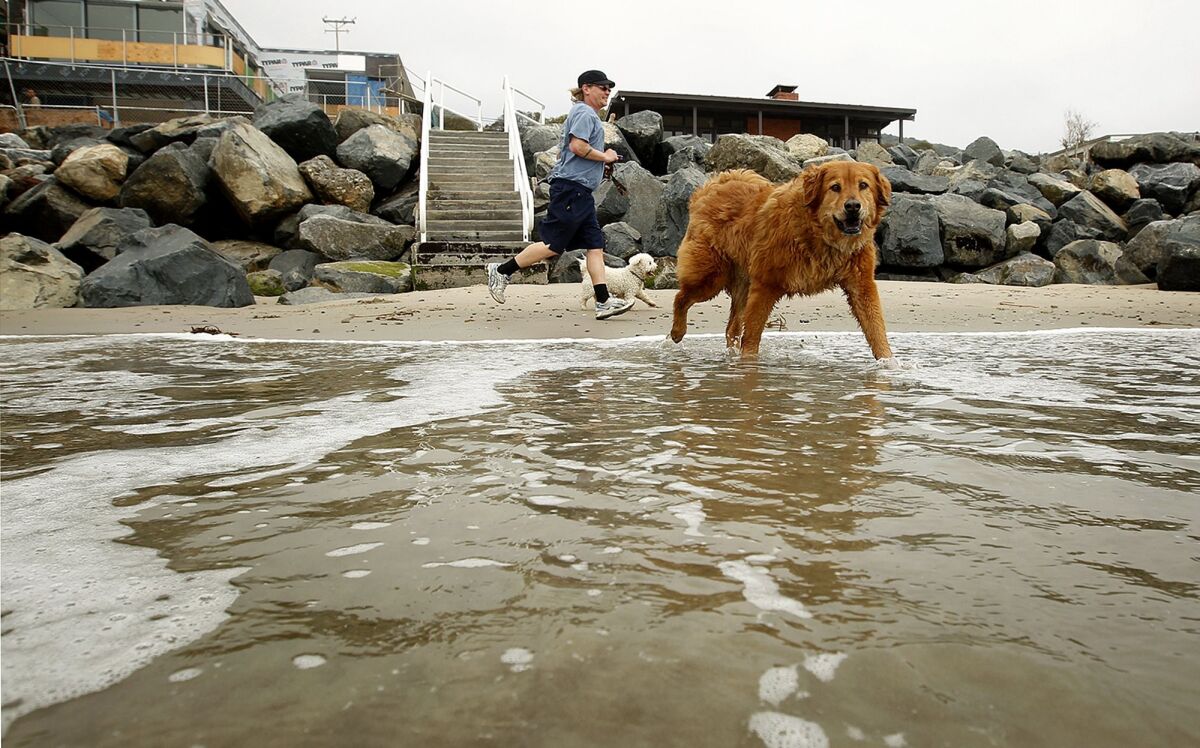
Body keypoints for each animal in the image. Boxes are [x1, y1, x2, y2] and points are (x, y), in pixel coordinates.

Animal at [672, 162, 897, 360]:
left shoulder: (861, 286)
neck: (819, 236)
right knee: (681, 298)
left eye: (863, 185)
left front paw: (889, 365)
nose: (853, 206)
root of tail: (716, 184)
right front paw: (749, 364)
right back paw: (677, 333)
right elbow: (752, 334)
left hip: (742, 285)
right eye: (835, 187)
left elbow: (876, 329)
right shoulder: (766, 285)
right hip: (710, 277)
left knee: (731, 327)